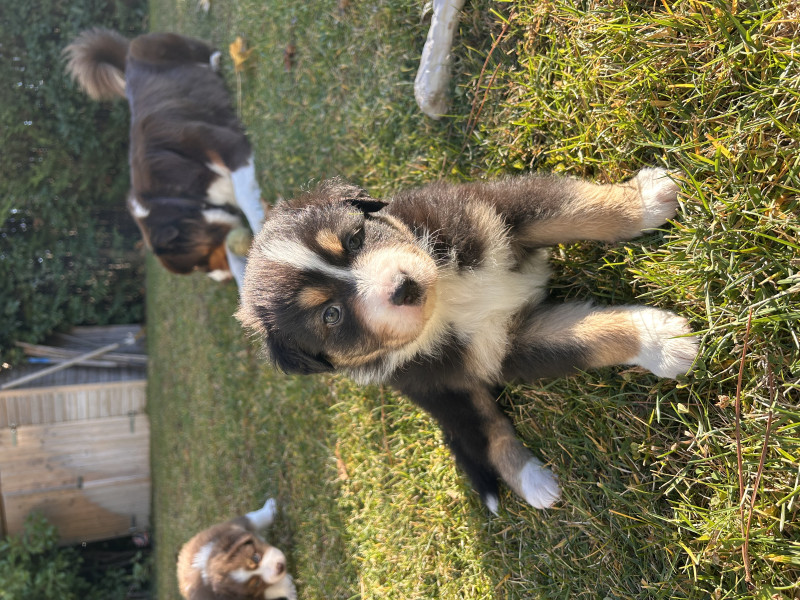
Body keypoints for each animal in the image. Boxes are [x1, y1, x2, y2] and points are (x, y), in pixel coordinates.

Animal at [64, 28, 264, 284]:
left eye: (199, 261)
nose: (223, 280)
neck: (171, 195)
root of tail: (129, 53)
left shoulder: (229, 146)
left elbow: (245, 197)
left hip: (178, 46)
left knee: (202, 50)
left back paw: (216, 59)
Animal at [235, 168, 699, 512]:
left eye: (354, 239)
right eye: (330, 315)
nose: (403, 288)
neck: (447, 298)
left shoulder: (490, 209)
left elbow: (580, 208)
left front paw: (647, 200)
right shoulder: (503, 349)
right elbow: (590, 339)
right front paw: (666, 341)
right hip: (442, 391)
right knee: (484, 428)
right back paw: (531, 481)